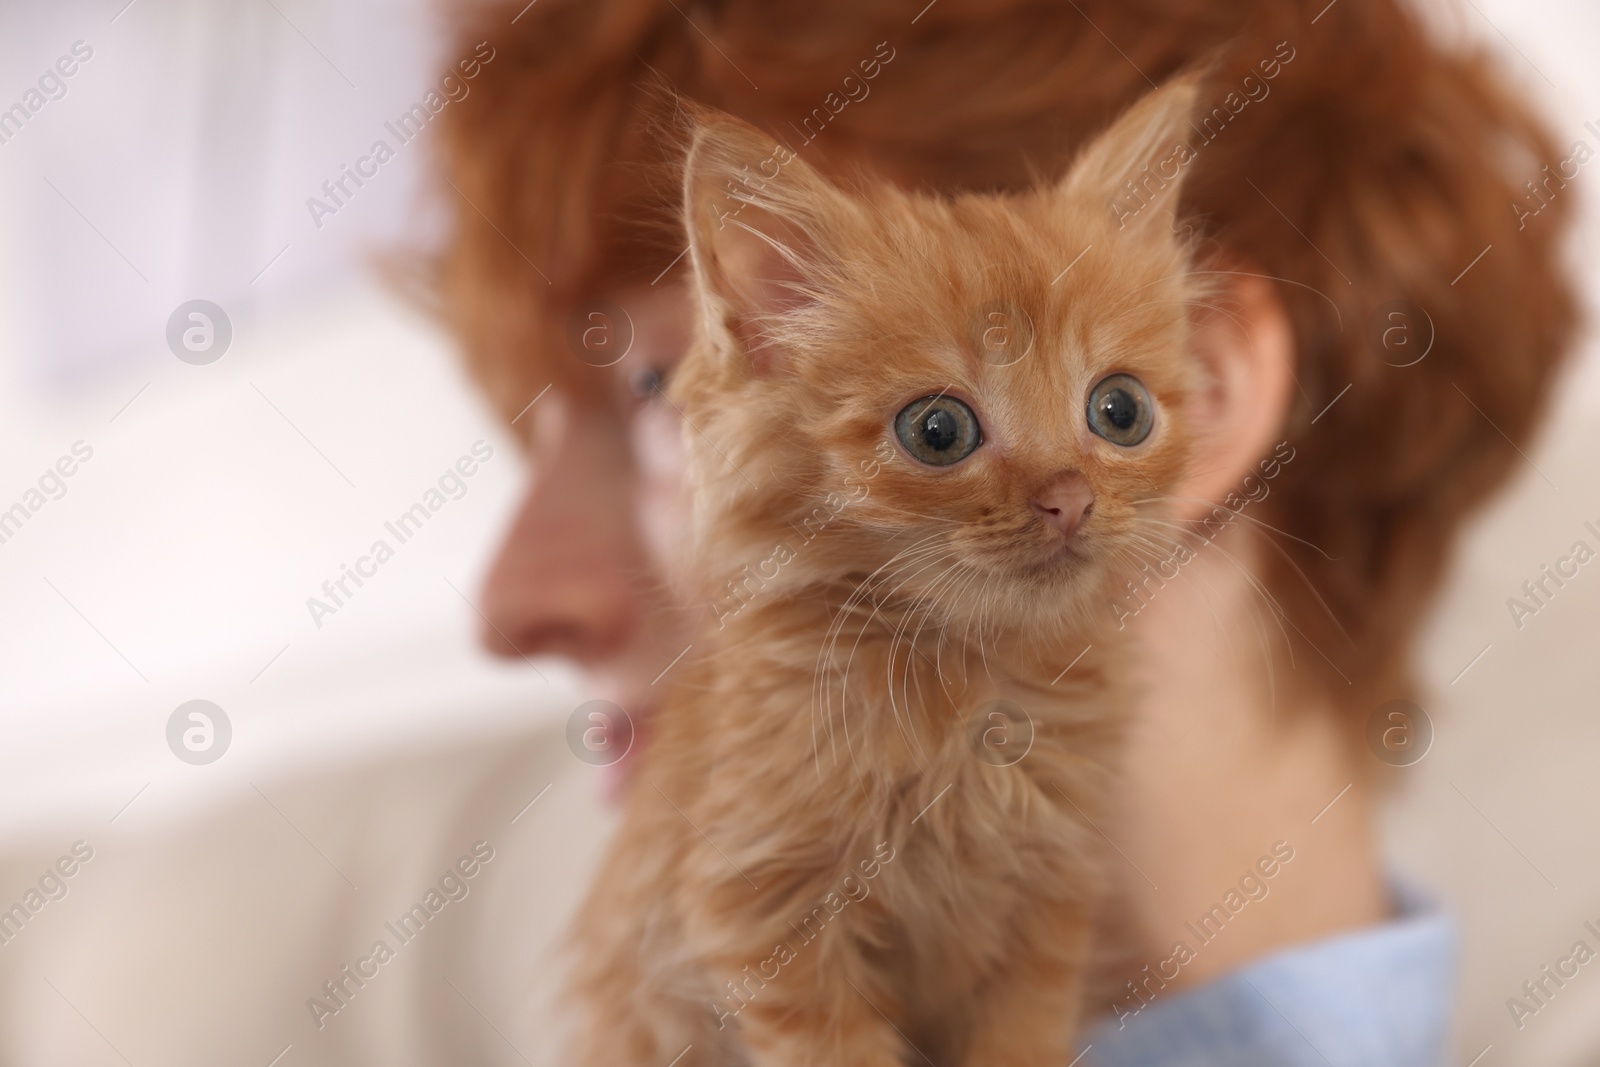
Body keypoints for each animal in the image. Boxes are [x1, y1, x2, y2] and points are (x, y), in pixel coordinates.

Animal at [563, 79, 1203, 1062]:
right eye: (936, 430)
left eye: (1120, 410)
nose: (1069, 498)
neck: (972, 689)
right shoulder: (761, 916)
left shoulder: (1049, 904)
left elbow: (1020, 1035)